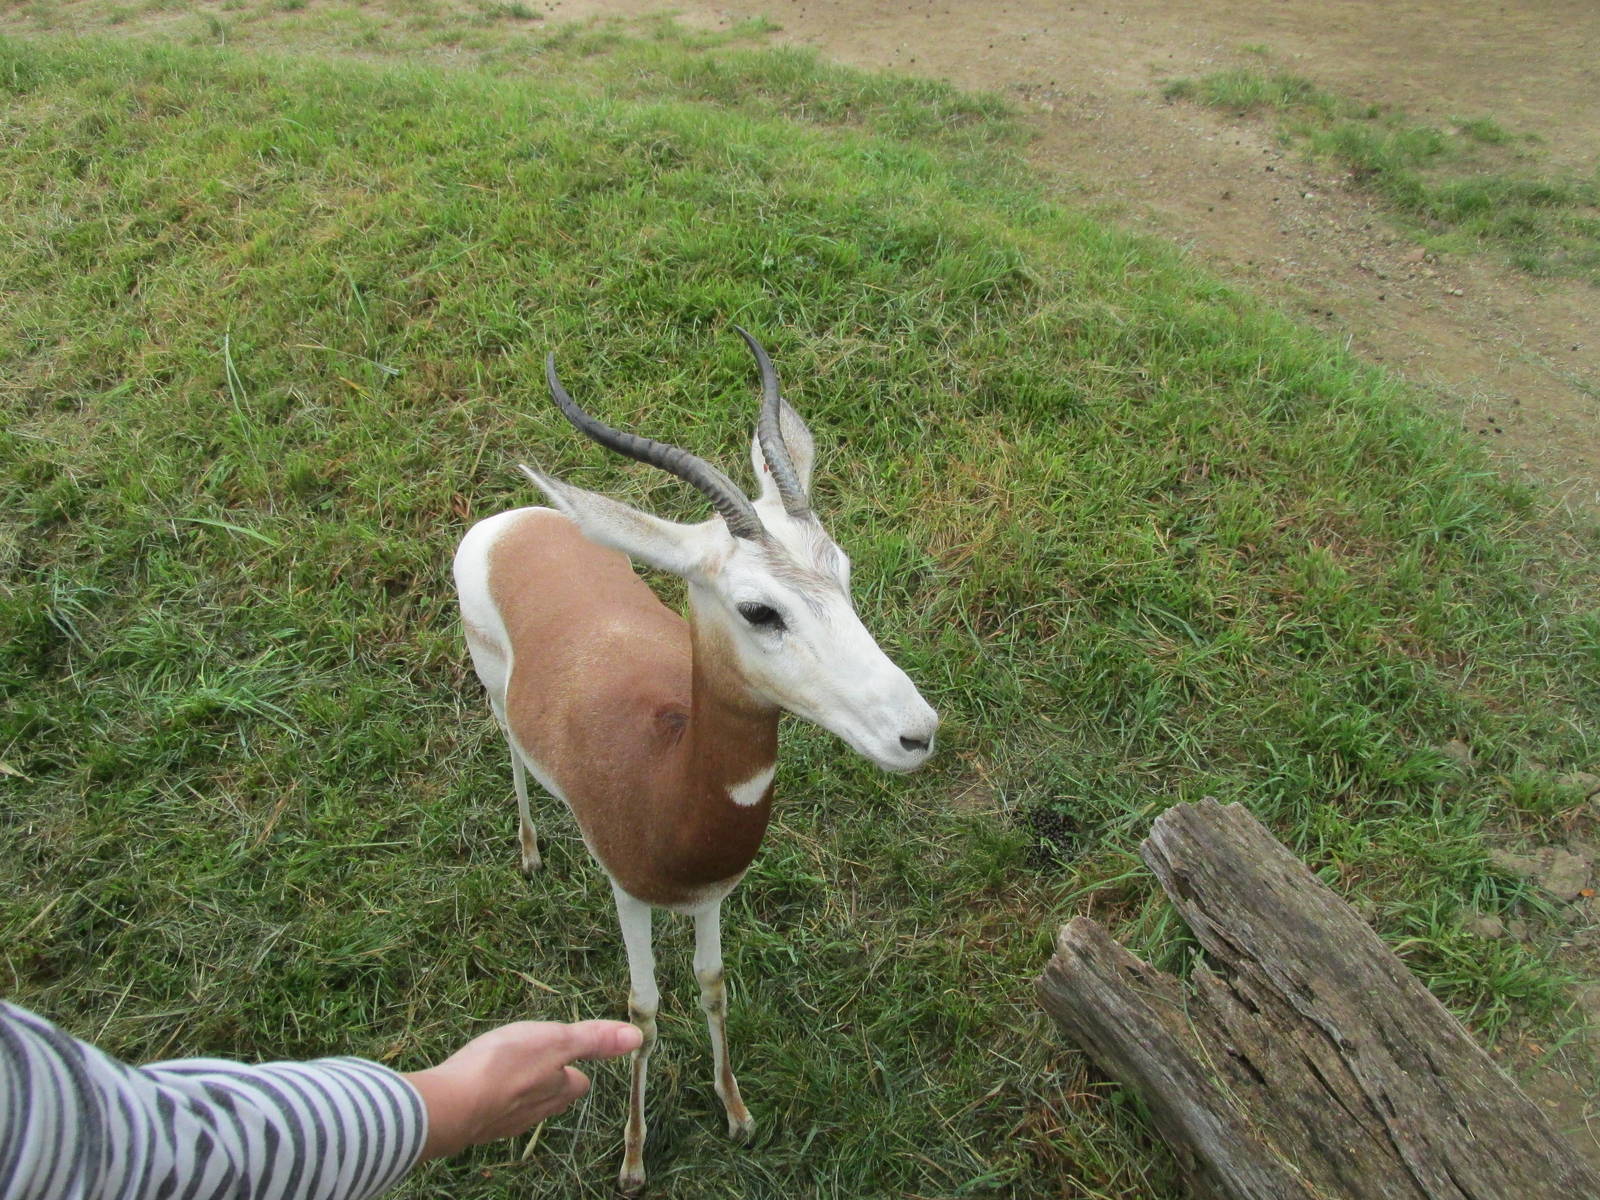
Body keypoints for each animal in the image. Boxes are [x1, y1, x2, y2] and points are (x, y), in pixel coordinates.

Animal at [453, 329, 938, 1193]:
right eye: (758, 610)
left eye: (845, 572)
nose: (916, 732)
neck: (667, 776)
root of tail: (508, 523)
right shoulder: (629, 895)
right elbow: (642, 1011)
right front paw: (633, 1157)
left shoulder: (714, 895)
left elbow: (711, 986)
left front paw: (736, 1111)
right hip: (490, 686)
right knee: (509, 747)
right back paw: (531, 851)